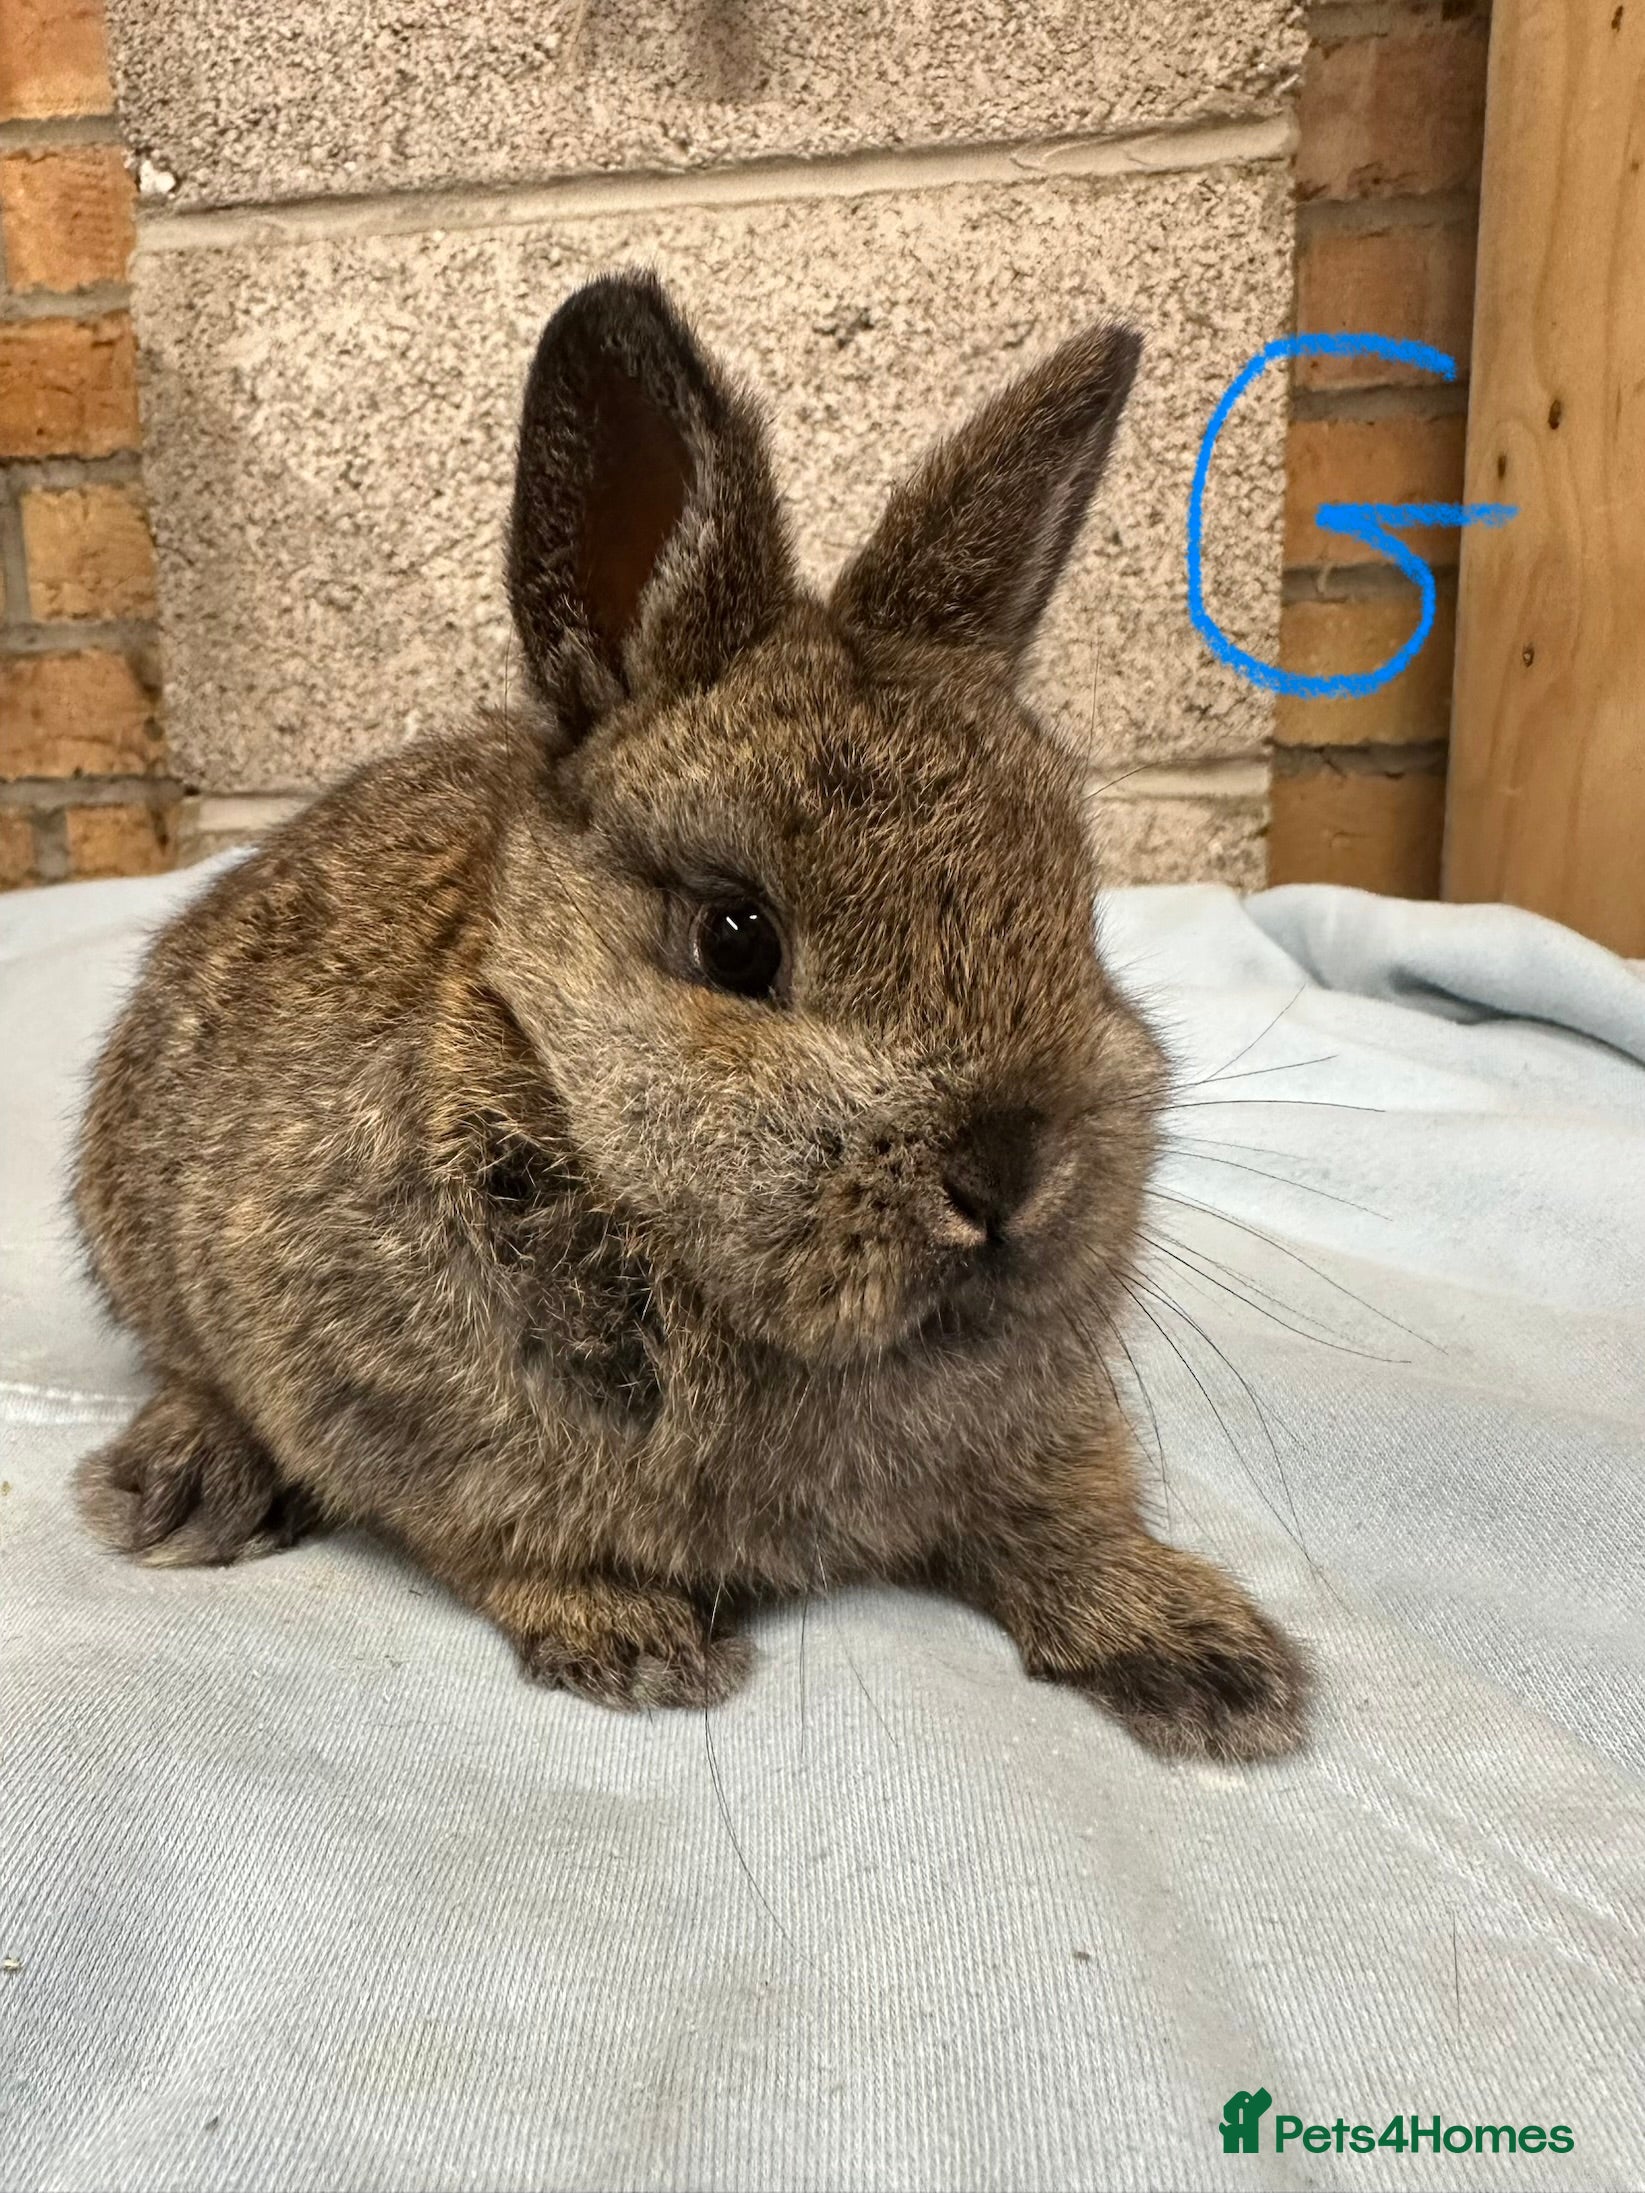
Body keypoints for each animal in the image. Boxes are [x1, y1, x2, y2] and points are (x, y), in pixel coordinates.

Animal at [72, 269, 1306, 1762]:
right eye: (738, 939)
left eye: (1076, 911)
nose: (1010, 1178)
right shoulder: (388, 1420)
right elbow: (495, 1541)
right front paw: (634, 1645)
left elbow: (1064, 1519)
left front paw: (1211, 1660)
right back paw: (180, 1488)